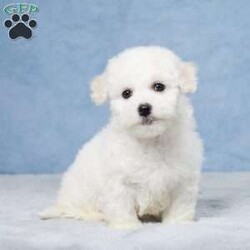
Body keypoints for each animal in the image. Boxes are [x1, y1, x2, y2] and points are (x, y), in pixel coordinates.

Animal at [41, 46, 204, 229]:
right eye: (126, 93)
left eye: (159, 86)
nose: (144, 108)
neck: (151, 141)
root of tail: (61, 203)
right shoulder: (118, 181)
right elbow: (122, 206)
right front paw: (127, 226)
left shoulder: (184, 179)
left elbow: (180, 206)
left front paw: (177, 223)